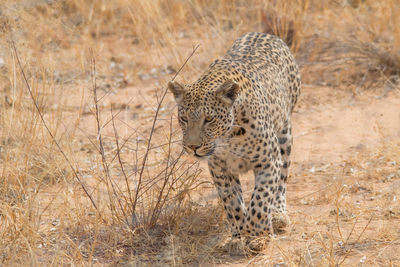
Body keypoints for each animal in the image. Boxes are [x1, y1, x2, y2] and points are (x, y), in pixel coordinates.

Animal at [168, 32, 300, 244]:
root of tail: (265, 33)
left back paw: (279, 215)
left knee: (281, 181)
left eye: (209, 119)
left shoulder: (269, 160)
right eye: (184, 119)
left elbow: (261, 199)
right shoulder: (219, 167)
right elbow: (232, 202)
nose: (192, 147)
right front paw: (238, 235)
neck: (228, 137)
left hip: (285, 136)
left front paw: (256, 235)